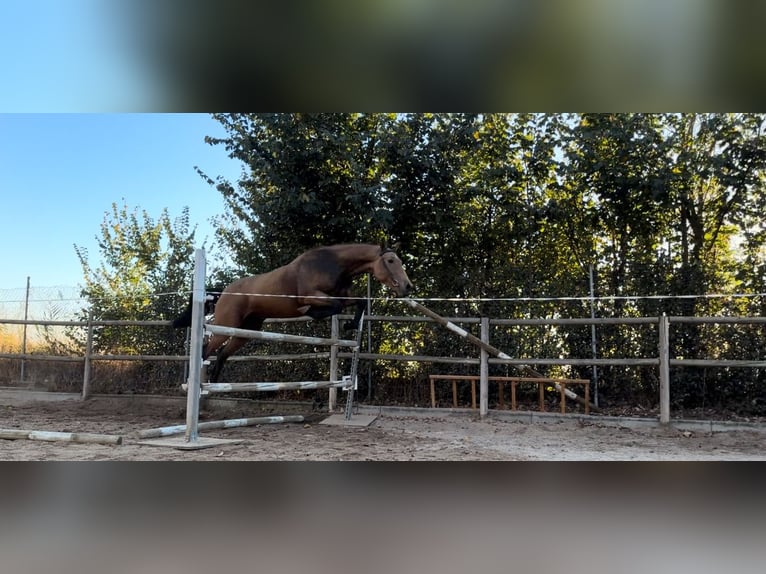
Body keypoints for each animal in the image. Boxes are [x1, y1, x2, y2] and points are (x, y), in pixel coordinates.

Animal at [173, 243, 413, 383]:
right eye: (391, 261)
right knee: (206, 350)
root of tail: (224, 291)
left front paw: (350, 325)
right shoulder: (311, 295)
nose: (407, 286)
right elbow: (333, 306)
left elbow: (360, 302)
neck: (334, 264)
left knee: (222, 354)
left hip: (246, 331)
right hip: (226, 326)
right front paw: (315, 313)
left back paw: (212, 386)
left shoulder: (345, 297)